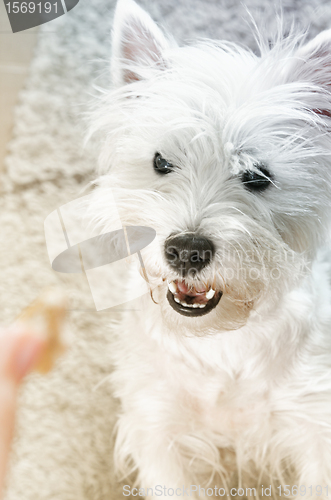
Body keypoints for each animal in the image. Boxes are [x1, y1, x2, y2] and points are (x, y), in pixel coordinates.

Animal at [89, 0, 331, 496]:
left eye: (257, 175)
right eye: (162, 161)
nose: (186, 251)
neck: (223, 342)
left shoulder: (316, 421)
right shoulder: (158, 425)